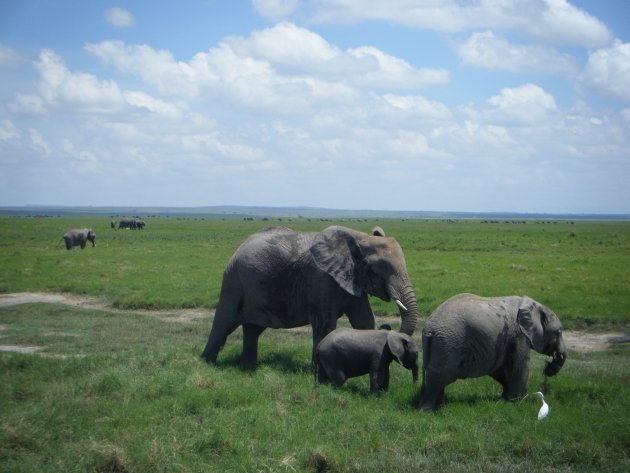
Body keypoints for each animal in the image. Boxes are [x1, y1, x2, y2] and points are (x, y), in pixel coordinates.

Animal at [201, 225, 420, 368]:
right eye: (379, 270)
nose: (388, 327)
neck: (359, 238)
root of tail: (239, 246)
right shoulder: (321, 279)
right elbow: (325, 324)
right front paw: (317, 370)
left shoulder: (353, 280)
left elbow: (363, 319)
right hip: (233, 281)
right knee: (224, 323)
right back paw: (207, 363)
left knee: (252, 330)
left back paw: (249, 366)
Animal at [420, 294, 568, 412]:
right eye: (559, 332)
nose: (547, 368)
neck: (532, 305)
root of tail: (429, 329)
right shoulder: (519, 336)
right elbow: (519, 367)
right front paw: (515, 403)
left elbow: (500, 369)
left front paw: (504, 400)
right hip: (449, 343)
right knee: (439, 376)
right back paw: (427, 411)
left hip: (444, 344)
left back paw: (440, 405)